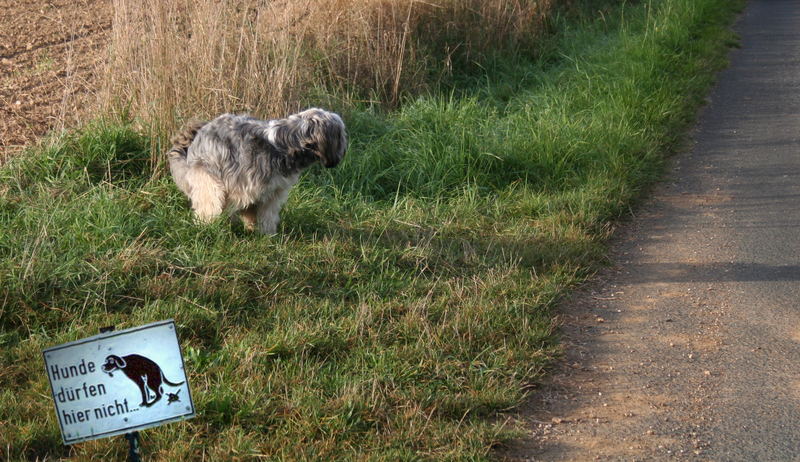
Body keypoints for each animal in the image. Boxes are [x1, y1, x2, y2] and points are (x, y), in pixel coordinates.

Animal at [167, 108, 346, 235]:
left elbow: (265, 215)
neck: (285, 145)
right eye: (341, 134)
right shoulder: (243, 188)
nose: (344, 151)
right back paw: (205, 227)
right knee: (209, 203)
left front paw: (266, 235)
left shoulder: (271, 192)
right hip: (209, 179)